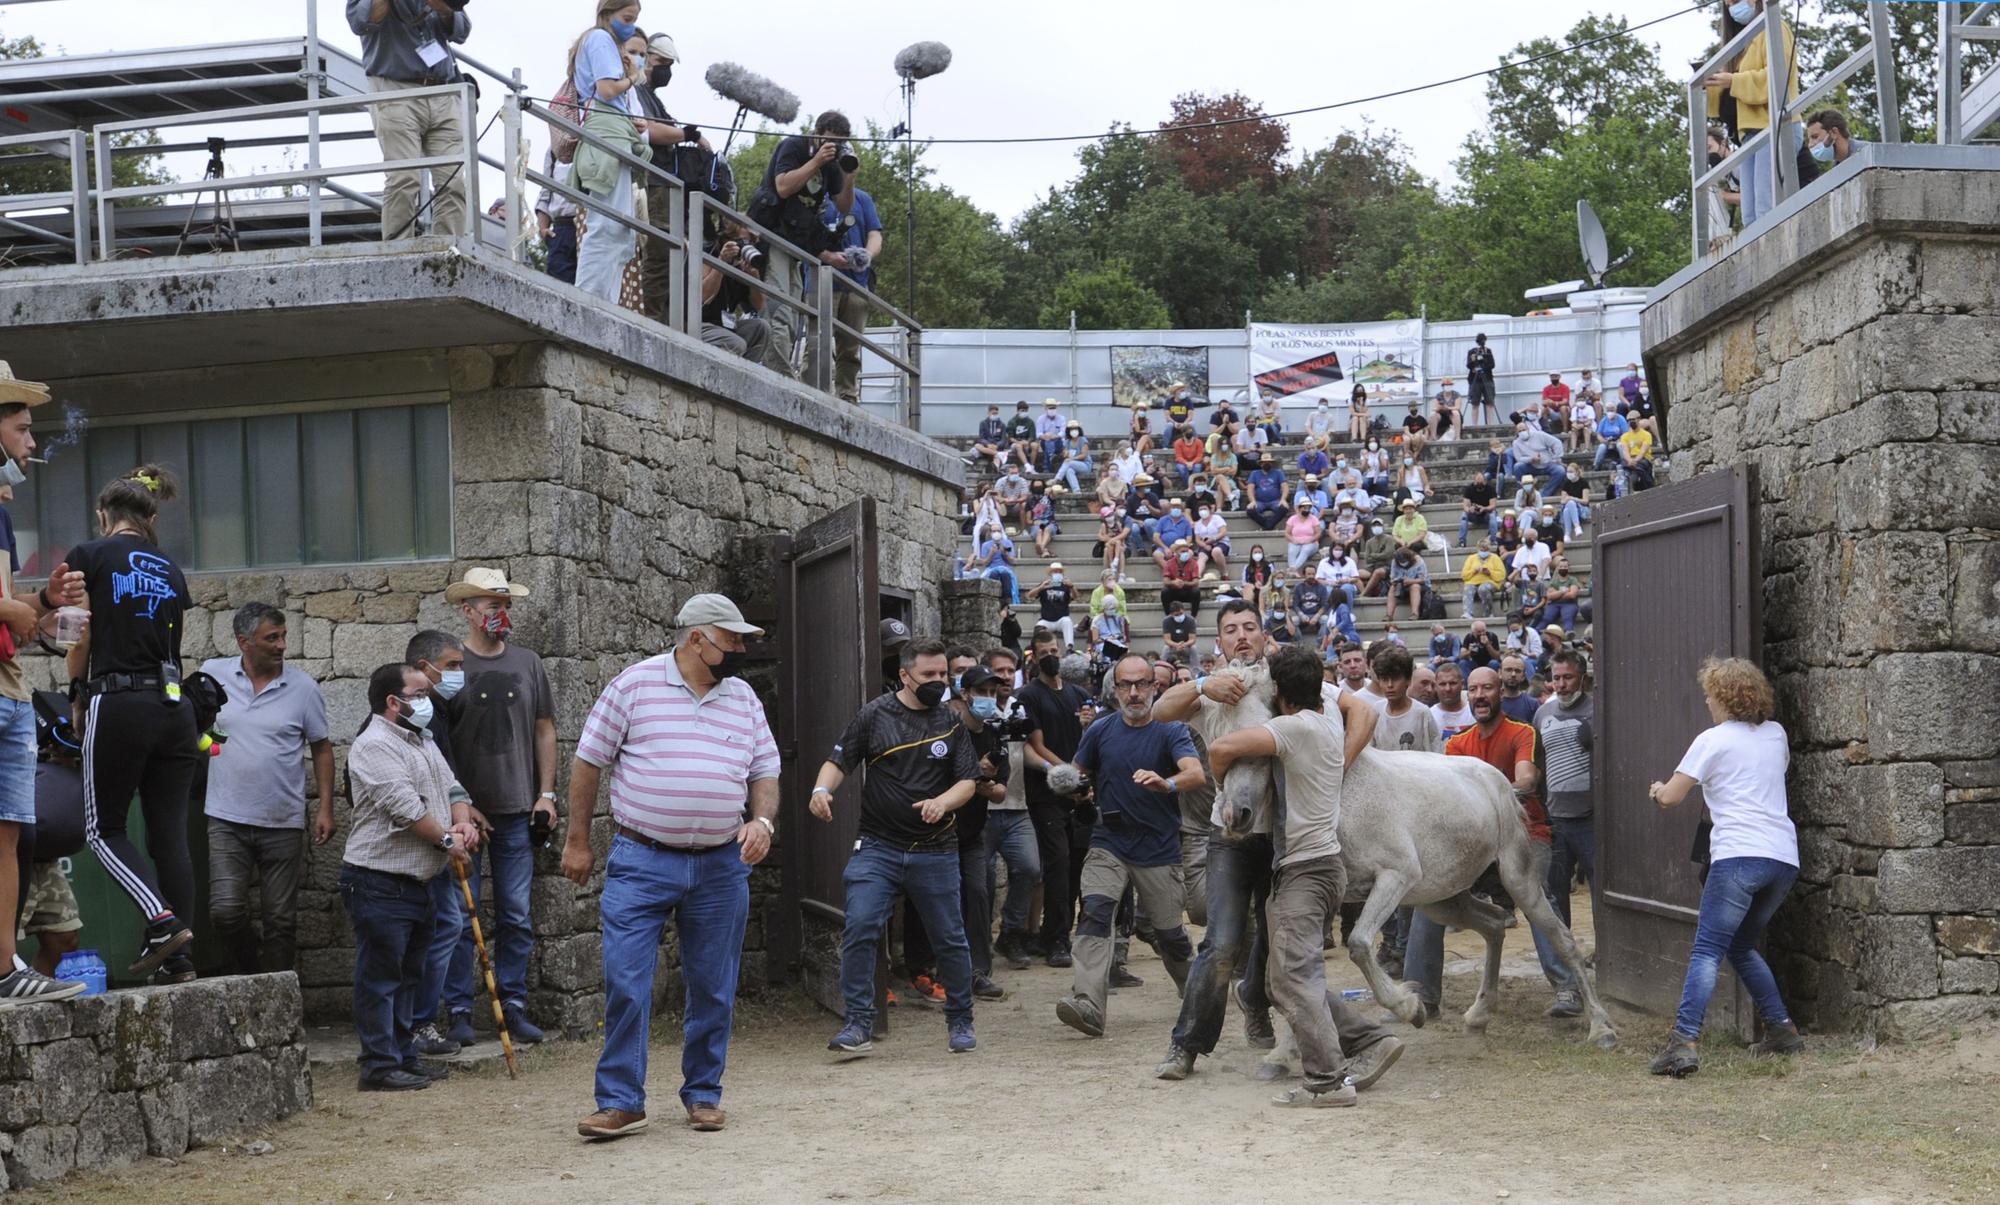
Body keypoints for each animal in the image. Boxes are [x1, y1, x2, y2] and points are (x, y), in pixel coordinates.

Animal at [1208, 660, 1616, 1048]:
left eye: (1259, 742)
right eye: (1215, 742)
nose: (1235, 816)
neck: (1341, 796)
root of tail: (1500, 781)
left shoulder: (1395, 877)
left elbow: (1359, 944)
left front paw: (1409, 1007)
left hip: (1518, 880)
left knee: (1560, 938)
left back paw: (1601, 1027)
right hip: (1441, 899)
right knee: (1494, 925)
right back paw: (1479, 1014)